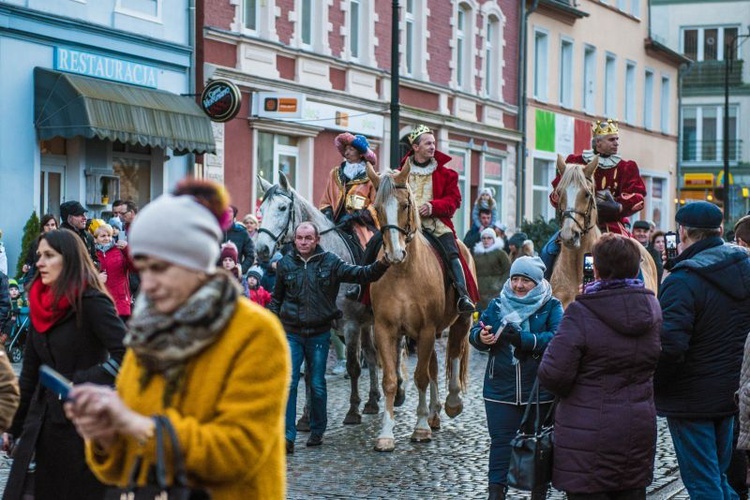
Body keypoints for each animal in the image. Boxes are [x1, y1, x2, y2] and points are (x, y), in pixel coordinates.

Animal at [366, 162, 476, 452]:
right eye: (377, 208)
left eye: (405, 205)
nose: (395, 254)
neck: (404, 272)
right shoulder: (385, 330)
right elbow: (391, 380)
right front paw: (386, 434)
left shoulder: (426, 329)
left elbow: (421, 377)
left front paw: (420, 428)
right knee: (434, 365)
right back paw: (434, 413)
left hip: (459, 321)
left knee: (454, 353)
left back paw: (451, 404)